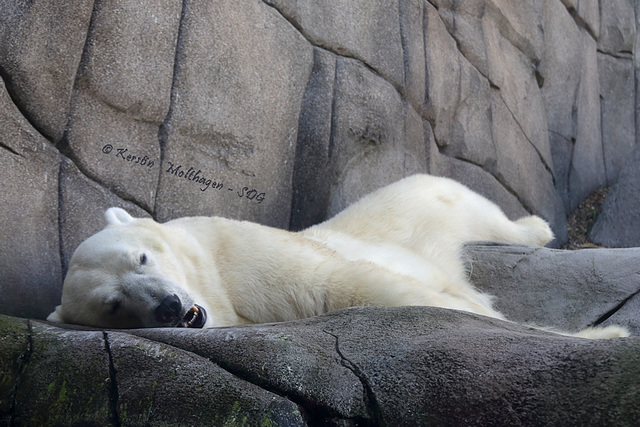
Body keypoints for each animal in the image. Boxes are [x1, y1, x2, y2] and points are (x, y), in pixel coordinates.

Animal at [48, 173, 632, 338]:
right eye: (113, 305)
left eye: (142, 259)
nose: (168, 307)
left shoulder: (236, 248)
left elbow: (342, 283)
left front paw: (604, 335)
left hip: (420, 196)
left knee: (480, 210)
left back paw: (535, 227)